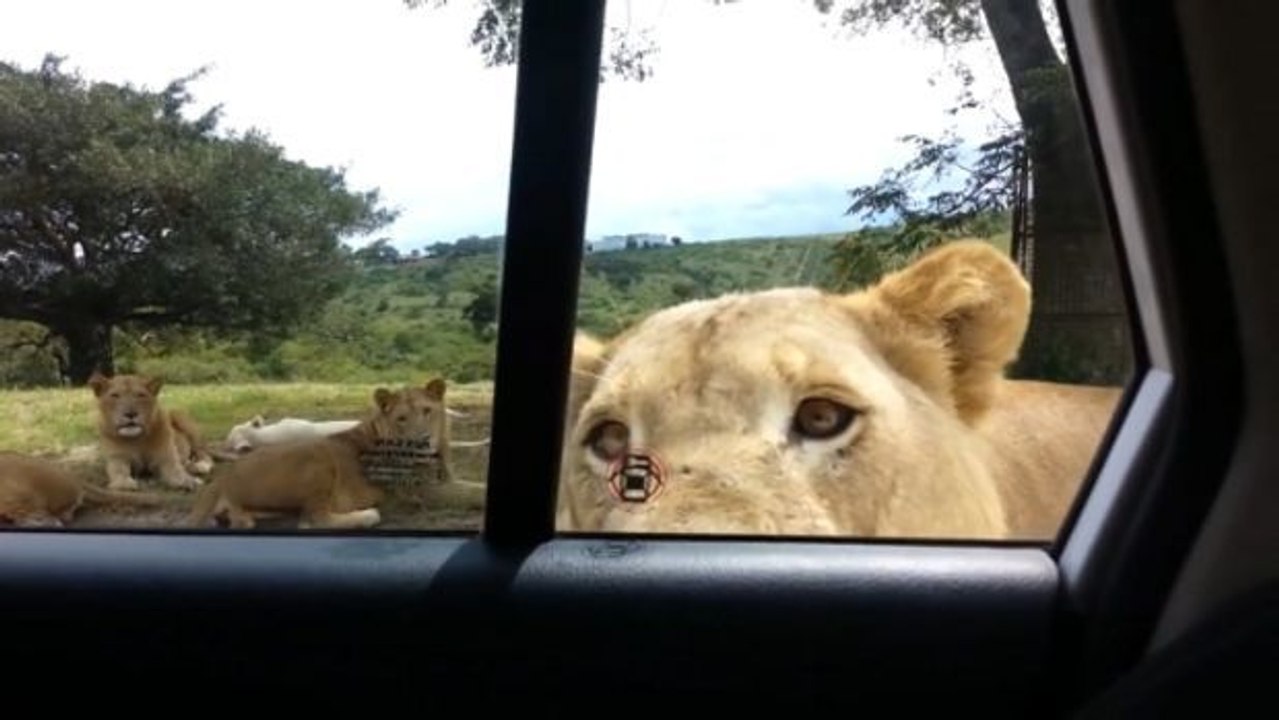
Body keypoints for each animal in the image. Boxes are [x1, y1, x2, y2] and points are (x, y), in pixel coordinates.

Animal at [184, 378, 451, 530]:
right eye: (402, 418)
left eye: (427, 411)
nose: (423, 441)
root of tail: (221, 478)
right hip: (319, 462)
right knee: (312, 520)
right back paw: (367, 514)